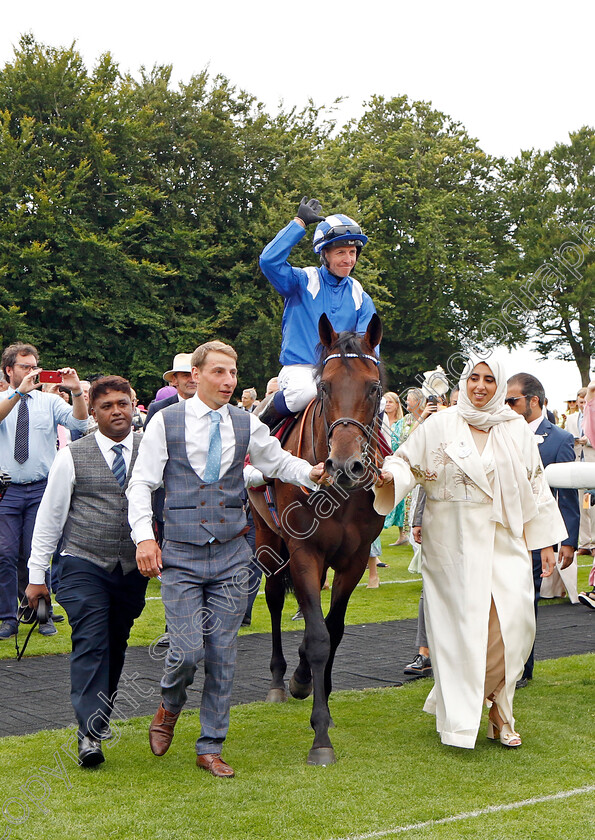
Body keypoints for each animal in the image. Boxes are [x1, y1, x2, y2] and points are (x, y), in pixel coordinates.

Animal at [249, 312, 384, 764]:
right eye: (324, 387)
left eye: (373, 387)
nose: (345, 465)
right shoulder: (304, 552)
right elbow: (319, 637)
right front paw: (320, 735)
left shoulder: (354, 558)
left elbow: (332, 629)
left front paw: (311, 682)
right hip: (267, 541)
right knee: (274, 600)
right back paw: (278, 681)